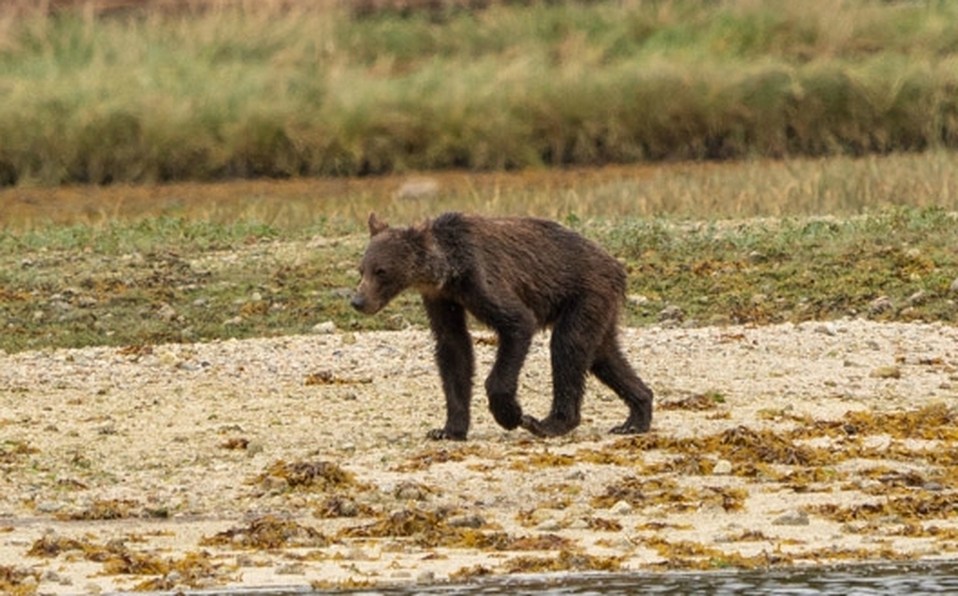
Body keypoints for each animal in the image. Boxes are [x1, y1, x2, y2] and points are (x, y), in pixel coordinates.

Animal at [351, 211, 653, 441]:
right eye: (361, 269)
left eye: (381, 271)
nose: (358, 300)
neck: (448, 271)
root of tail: (617, 265)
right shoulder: (441, 298)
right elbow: (453, 348)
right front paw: (447, 429)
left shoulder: (481, 278)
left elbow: (517, 323)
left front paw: (510, 414)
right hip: (599, 305)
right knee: (603, 355)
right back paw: (635, 417)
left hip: (585, 292)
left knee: (568, 346)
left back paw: (548, 423)